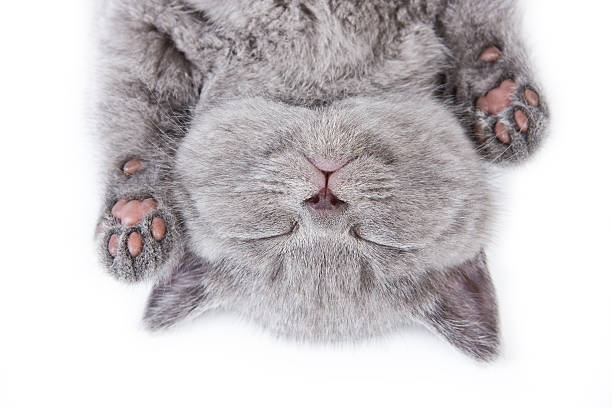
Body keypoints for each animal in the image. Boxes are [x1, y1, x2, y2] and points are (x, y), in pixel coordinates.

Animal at [94, 0, 548, 364]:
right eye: (274, 233)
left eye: (376, 240)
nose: (324, 195)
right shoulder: (152, 24)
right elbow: (134, 106)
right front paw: (135, 216)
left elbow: (475, 18)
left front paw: (503, 101)